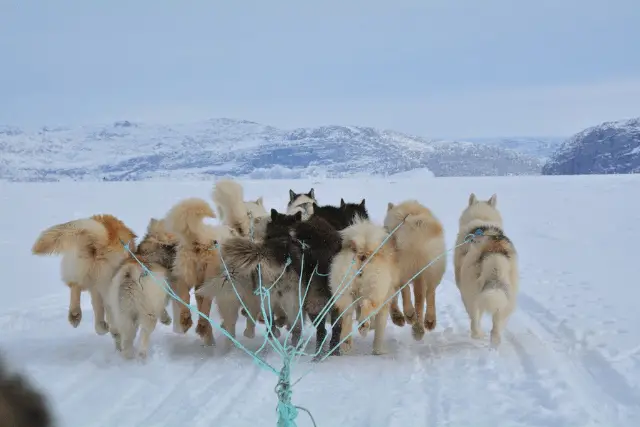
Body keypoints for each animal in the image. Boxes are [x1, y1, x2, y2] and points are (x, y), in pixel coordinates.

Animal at [164, 197, 236, 348]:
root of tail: (200, 239)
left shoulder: (197, 285)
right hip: (210, 277)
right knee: (205, 306)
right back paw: (202, 328)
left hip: (185, 275)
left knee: (184, 297)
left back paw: (187, 321)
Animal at [328, 217, 398, 354]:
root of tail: (363, 251)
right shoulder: (385, 304)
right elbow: (379, 330)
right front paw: (379, 350)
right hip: (376, 292)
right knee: (367, 304)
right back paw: (363, 327)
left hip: (344, 293)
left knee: (347, 316)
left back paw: (346, 343)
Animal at [384, 201, 444, 342]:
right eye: (386, 229)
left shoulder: (415, 274)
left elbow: (414, 298)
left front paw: (413, 321)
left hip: (427, 274)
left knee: (425, 296)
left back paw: (420, 322)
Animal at [452, 194, 516, 348]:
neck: (483, 219)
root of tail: (494, 252)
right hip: (505, 296)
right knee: (497, 326)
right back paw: (494, 343)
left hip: (472, 295)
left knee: (474, 320)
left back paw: (477, 335)